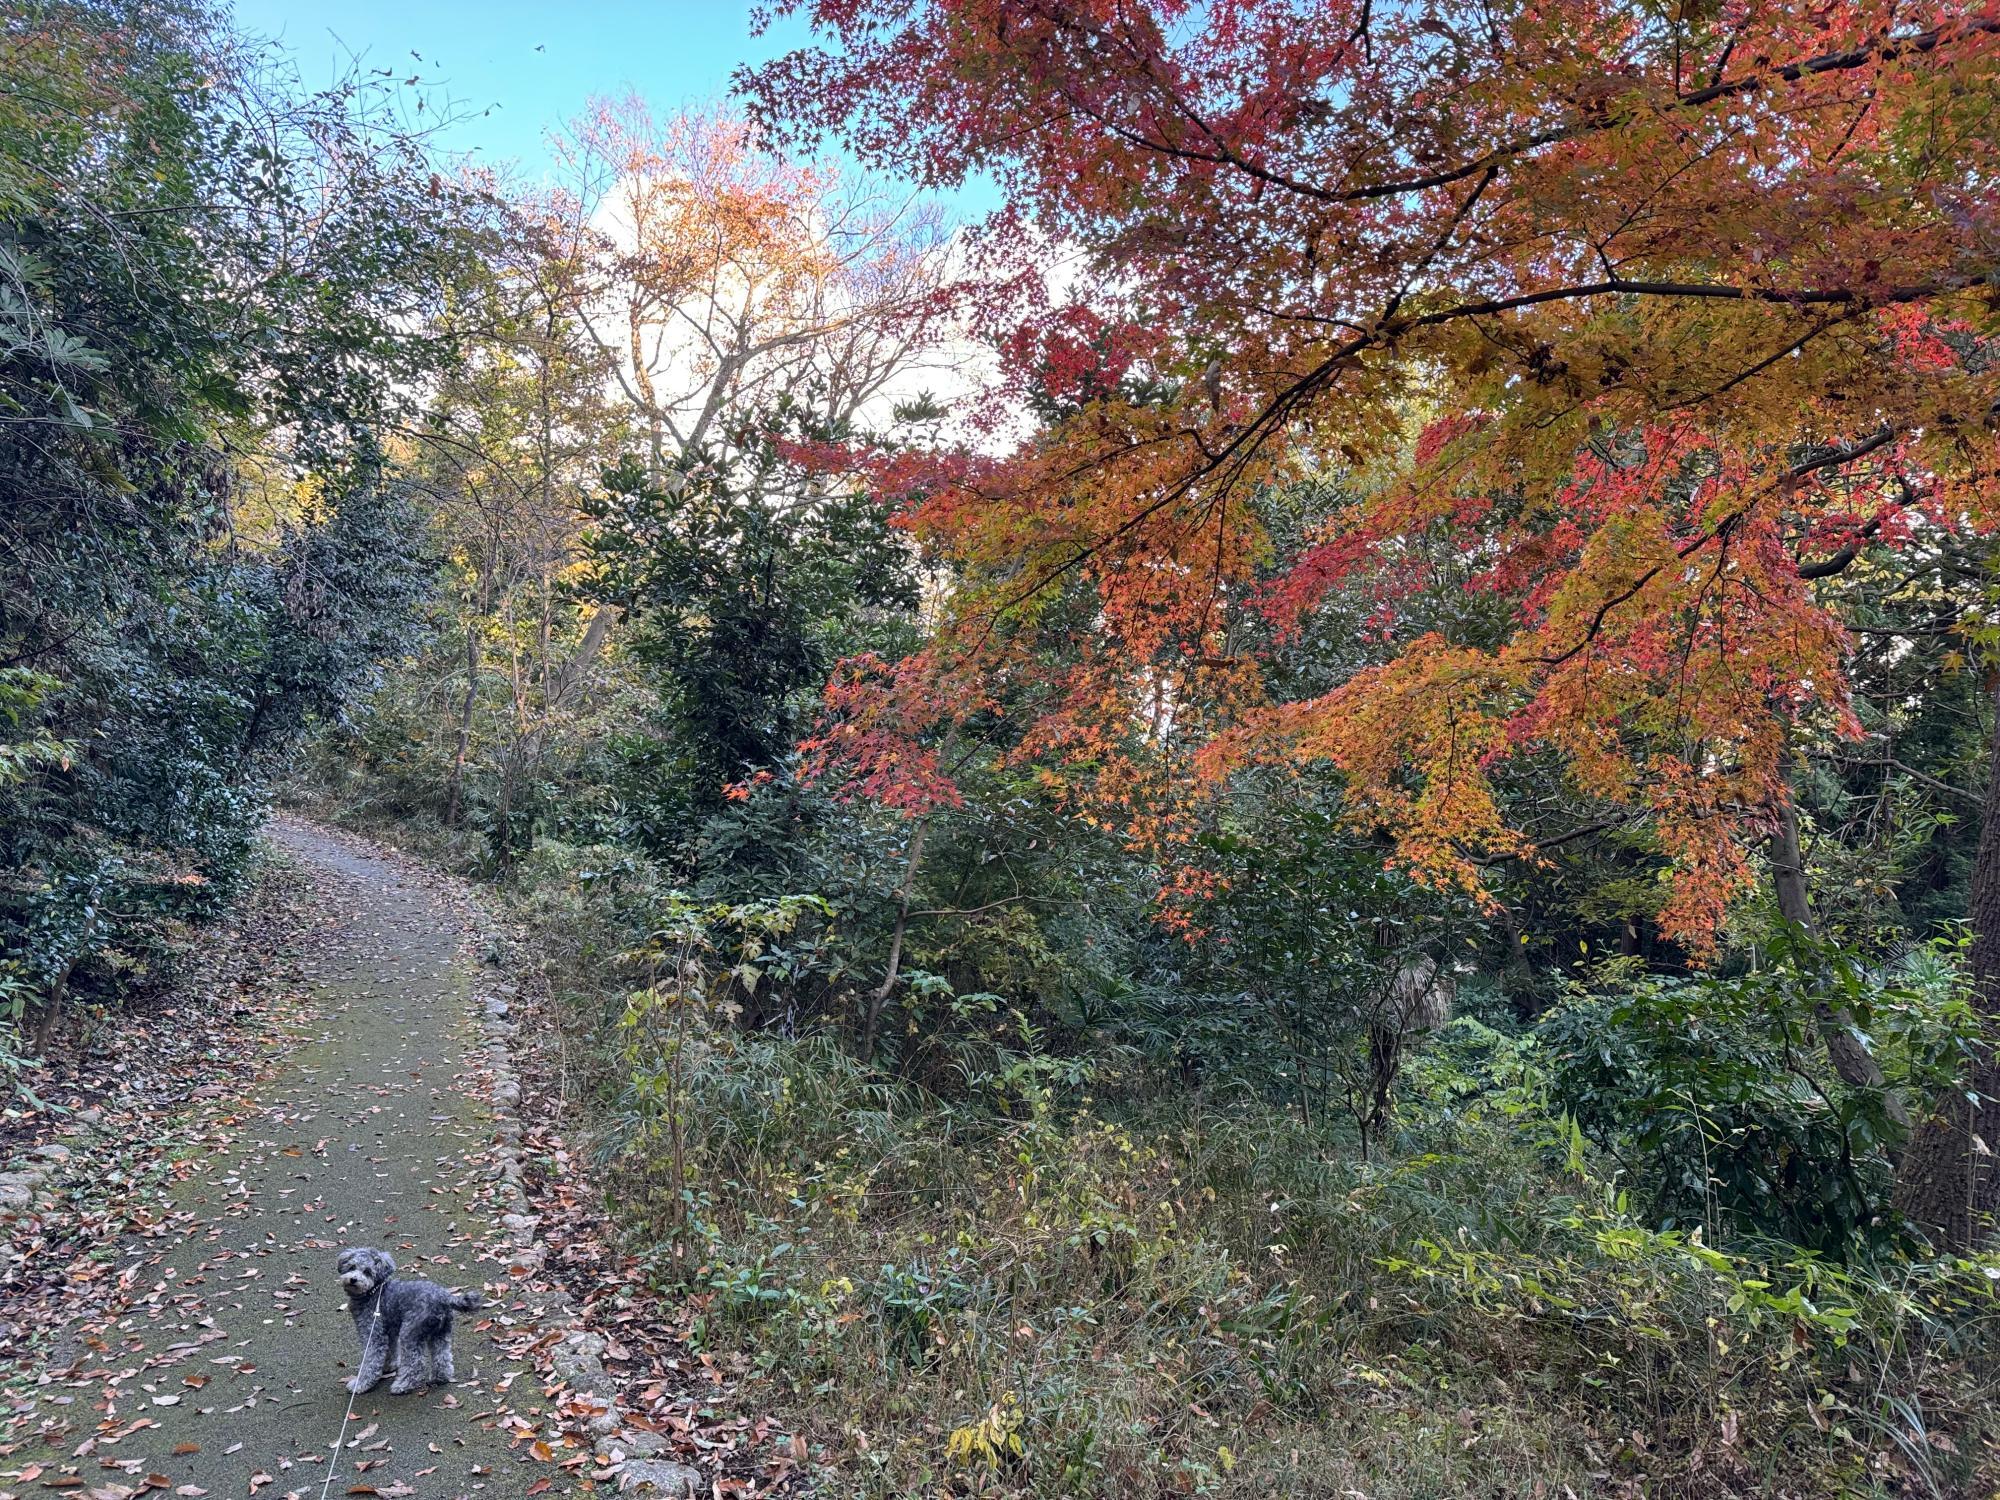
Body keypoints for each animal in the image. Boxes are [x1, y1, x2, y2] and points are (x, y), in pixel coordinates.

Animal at [334, 1248, 482, 1400]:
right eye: (352, 1267)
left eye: (367, 1271)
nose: (353, 1279)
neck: (374, 1292)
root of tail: (444, 1298)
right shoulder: (389, 1332)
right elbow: (390, 1351)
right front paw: (388, 1367)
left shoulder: (373, 1334)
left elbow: (370, 1362)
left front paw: (360, 1384)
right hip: (440, 1333)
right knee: (443, 1357)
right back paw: (439, 1378)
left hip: (410, 1332)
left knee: (415, 1364)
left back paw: (402, 1386)